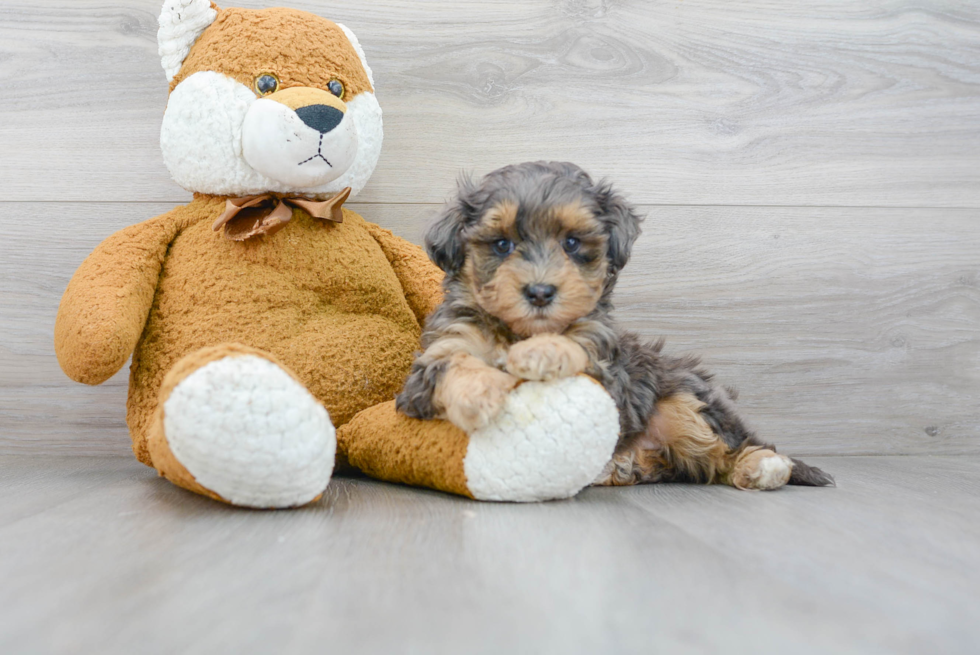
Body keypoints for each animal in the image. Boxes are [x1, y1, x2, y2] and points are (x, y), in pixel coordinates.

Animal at [398, 161, 836, 490]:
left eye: (572, 243)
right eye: (502, 245)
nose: (540, 292)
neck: (518, 330)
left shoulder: (605, 370)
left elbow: (575, 346)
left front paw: (543, 352)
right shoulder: (437, 355)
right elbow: (454, 361)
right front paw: (477, 394)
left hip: (684, 402)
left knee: (725, 451)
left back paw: (762, 467)